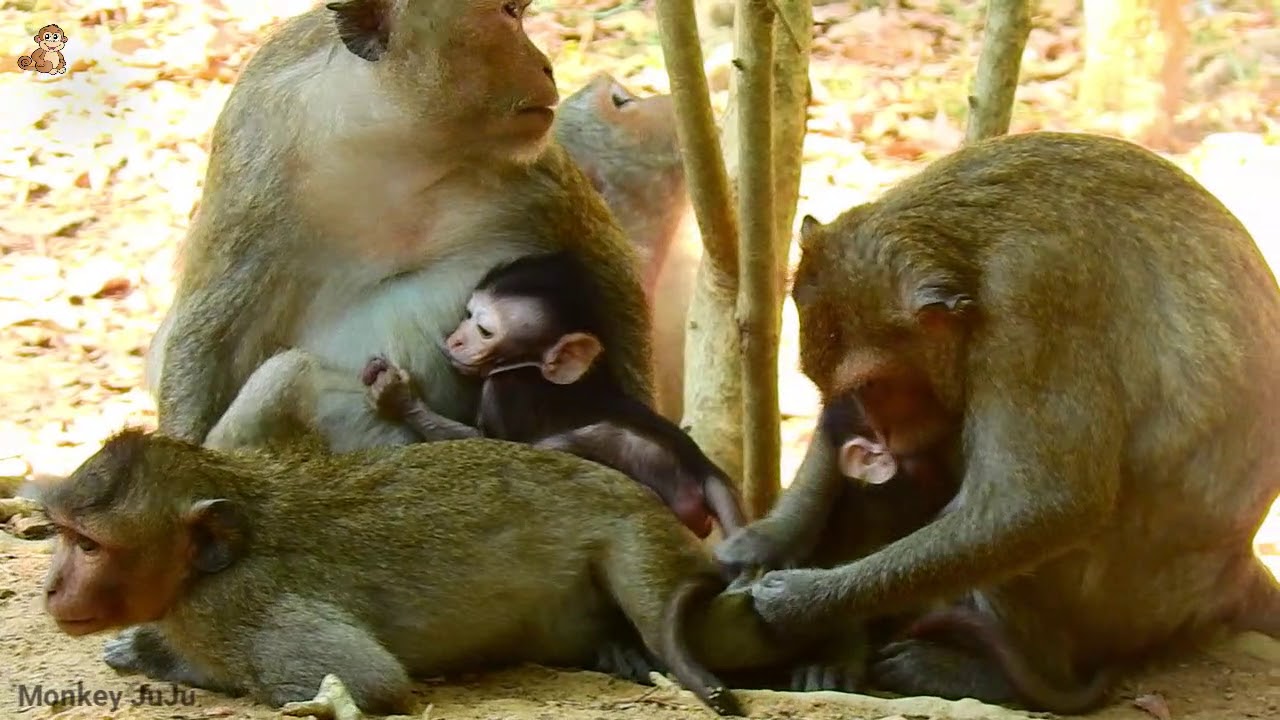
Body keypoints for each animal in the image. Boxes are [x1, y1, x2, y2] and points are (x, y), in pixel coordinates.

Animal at [41, 430, 869, 715]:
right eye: (62, 536)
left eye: (88, 546)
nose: (53, 586)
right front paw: (145, 646)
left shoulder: (234, 606)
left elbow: (360, 681)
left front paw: (159, 655)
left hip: (638, 532)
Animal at [144, 0, 654, 454]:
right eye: (509, 12)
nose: (546, 66)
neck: (397, 142)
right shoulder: (255, 152)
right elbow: (211, 335)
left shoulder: (541, 176)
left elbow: (604, 280)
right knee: (285, 380)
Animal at [361, 251, 746, 539]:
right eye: (467, 316)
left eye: (484, 331)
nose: (455, 340)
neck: (528, 366)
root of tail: (704, 468)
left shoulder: (505, 389)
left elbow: (494, 445)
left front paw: (398, 398)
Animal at [713, 131, 1280, 712]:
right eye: (846, 387)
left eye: (877, 386)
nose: (877, 432)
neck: (969, 246)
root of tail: (1237, 570)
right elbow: (837, 434)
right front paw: (769, 538)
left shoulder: (1035, 303)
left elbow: (1043, 503)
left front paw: (803, 601)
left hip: (1123, 610)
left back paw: (992, 675)